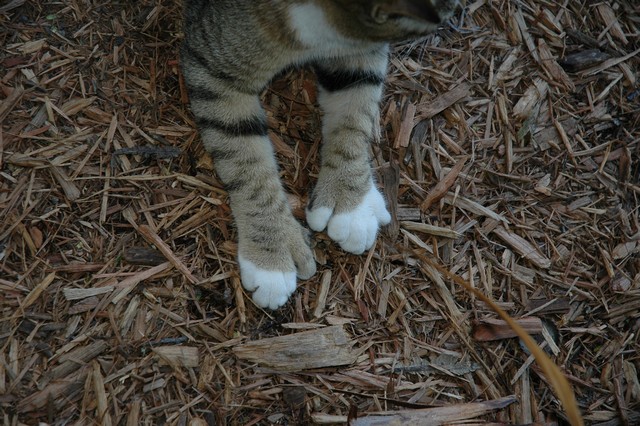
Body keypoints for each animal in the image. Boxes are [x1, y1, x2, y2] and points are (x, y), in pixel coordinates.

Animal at [182, 0, 458, 310]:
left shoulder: (359, 46)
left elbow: (357, 105)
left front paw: (351, 201)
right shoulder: (212, 67)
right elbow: (245, 161)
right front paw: (272, 255)